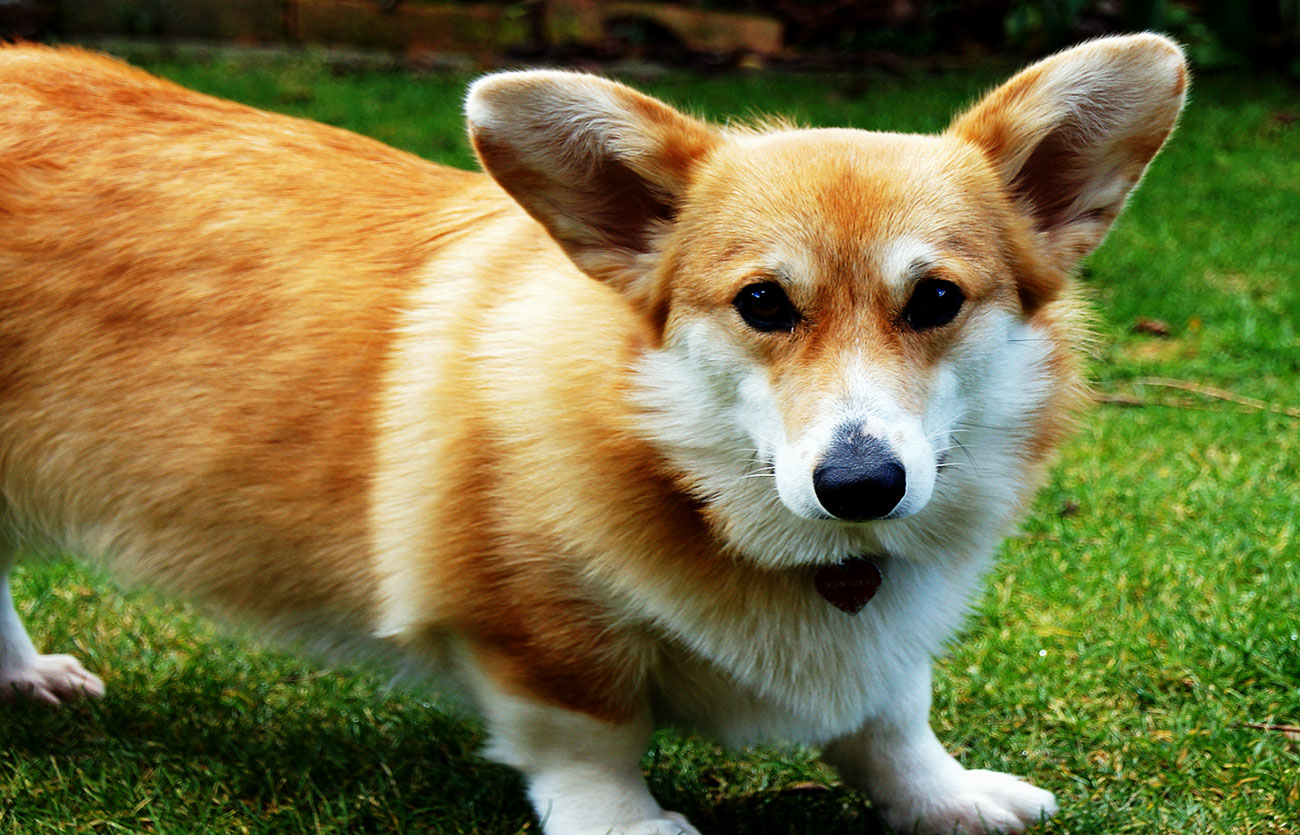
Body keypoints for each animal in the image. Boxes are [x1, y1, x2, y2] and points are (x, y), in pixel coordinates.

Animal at [0, 35, 1180, 827]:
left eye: (936, 299)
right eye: (762, 304)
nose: (860, 484)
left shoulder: (883, 649)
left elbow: (891, 718)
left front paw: (946, 796)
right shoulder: (528, 625)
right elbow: (587, 735)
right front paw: (627, 822)